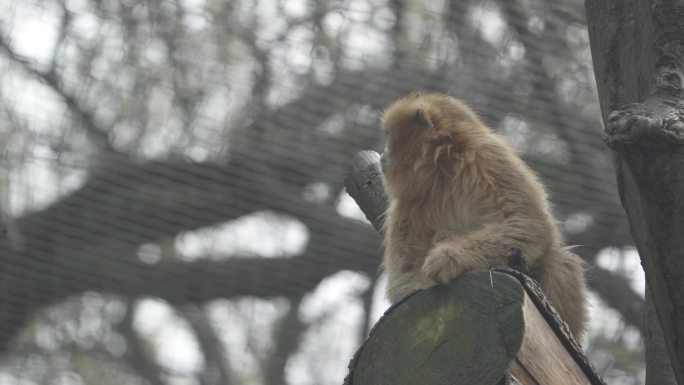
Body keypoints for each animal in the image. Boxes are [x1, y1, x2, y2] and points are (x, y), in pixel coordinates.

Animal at [380, 91, 588, 338]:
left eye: (388, 138)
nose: (382, 156)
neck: (444, 169)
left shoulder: (489, 155)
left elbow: (528, 223)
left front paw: (448, 258)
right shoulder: (405, 204)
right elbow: (403, 278)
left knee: (559, 259)